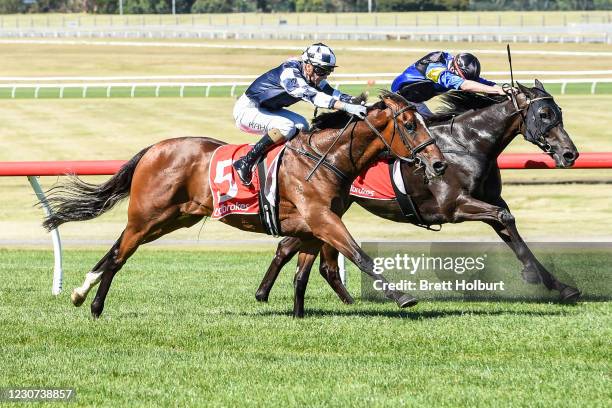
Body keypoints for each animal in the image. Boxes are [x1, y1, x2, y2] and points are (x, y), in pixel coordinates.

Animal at [41, 91, 444, 318]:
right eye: (410, 125)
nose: (438, 163)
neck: (325, 158)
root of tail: (154, 149)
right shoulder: (322, 218)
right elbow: (359, 255)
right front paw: (403, 297)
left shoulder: (314, 225)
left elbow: (301, 272)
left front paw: (297, 315)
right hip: (148, 217)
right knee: (119, 255)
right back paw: (93, 305)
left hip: (170, 219)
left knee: (116, 249)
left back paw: (82, 294)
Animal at [256, 81, 580, 308]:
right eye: (544, 113)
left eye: (560, 113)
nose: (570, 154)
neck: (467, 144)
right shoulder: (455, 206)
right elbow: (505, 218)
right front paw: (532, 275)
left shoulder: (488, 200)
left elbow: (511, 230)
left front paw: (561, 286)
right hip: (325, 208)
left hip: (325, 208)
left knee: (289, 246)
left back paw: (264, 292)